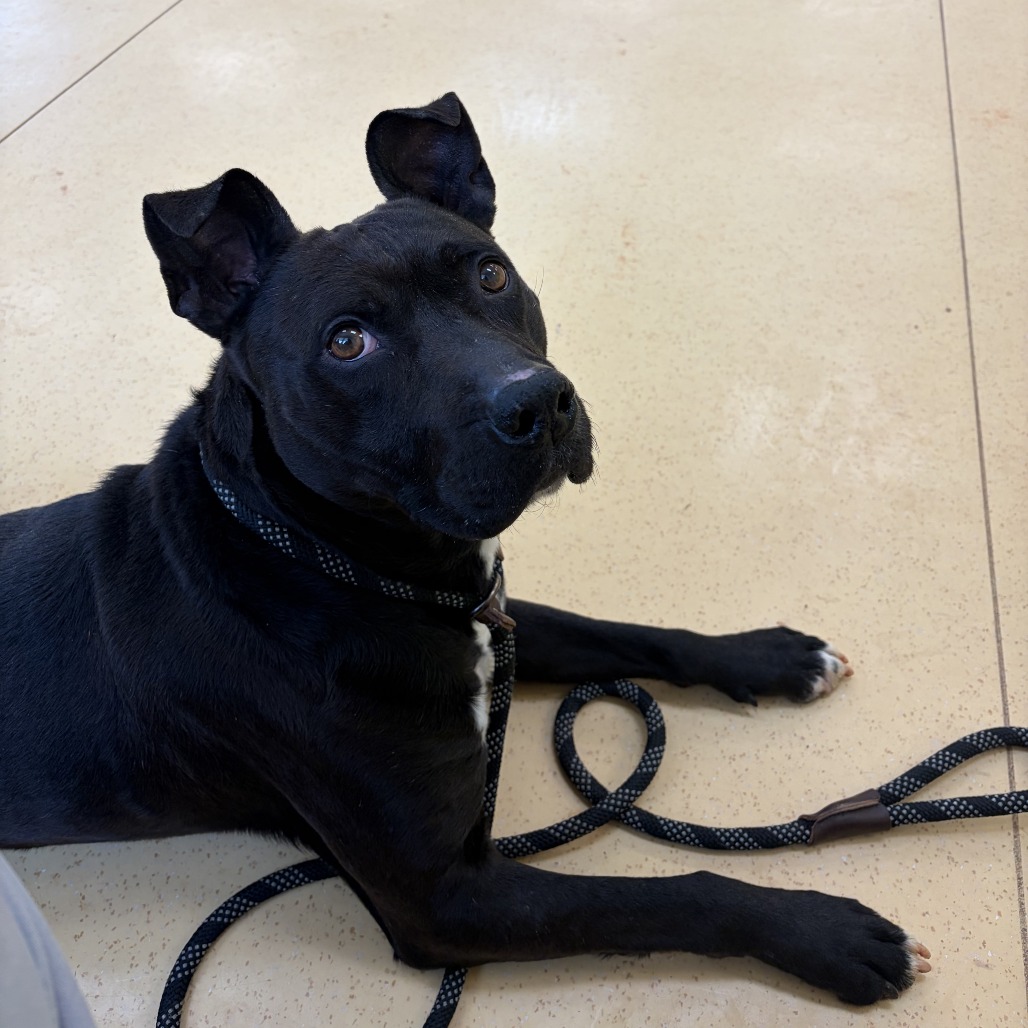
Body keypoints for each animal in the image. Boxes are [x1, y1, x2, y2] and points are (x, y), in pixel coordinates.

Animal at [0, 92, 930, 1006]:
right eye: (347, 341)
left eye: (491, 274)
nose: (540, 405)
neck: (320, 560)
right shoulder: (444, 899)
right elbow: (676, 894)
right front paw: (824, 932)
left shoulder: (489, 614)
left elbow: (628, 632)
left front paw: (770, 656)